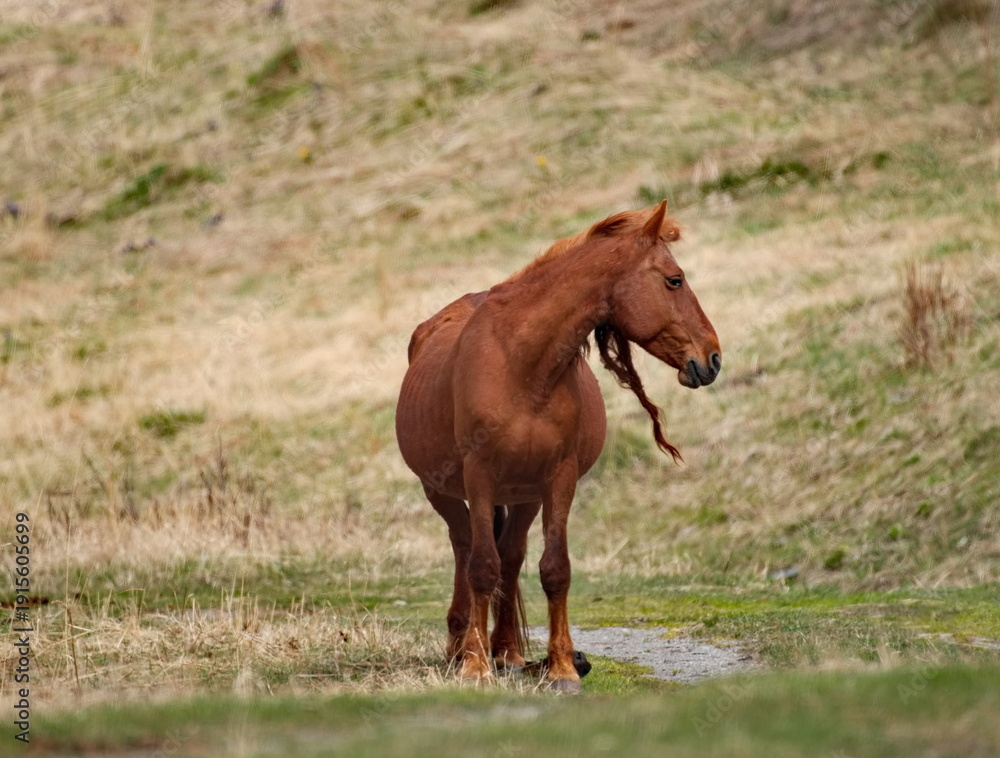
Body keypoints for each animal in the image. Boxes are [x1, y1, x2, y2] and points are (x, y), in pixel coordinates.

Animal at [395, 201, 721, 693]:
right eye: (674, 279)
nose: (713, 357)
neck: (521, 365)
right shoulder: (479, 475)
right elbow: (481, 567)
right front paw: (475, 667)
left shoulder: (558, 479)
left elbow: (553, 569)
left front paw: (563, 668)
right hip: (443, 493)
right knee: (465, 548)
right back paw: (461, 648)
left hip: (524, 495)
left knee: (510, 557)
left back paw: (507, 652)